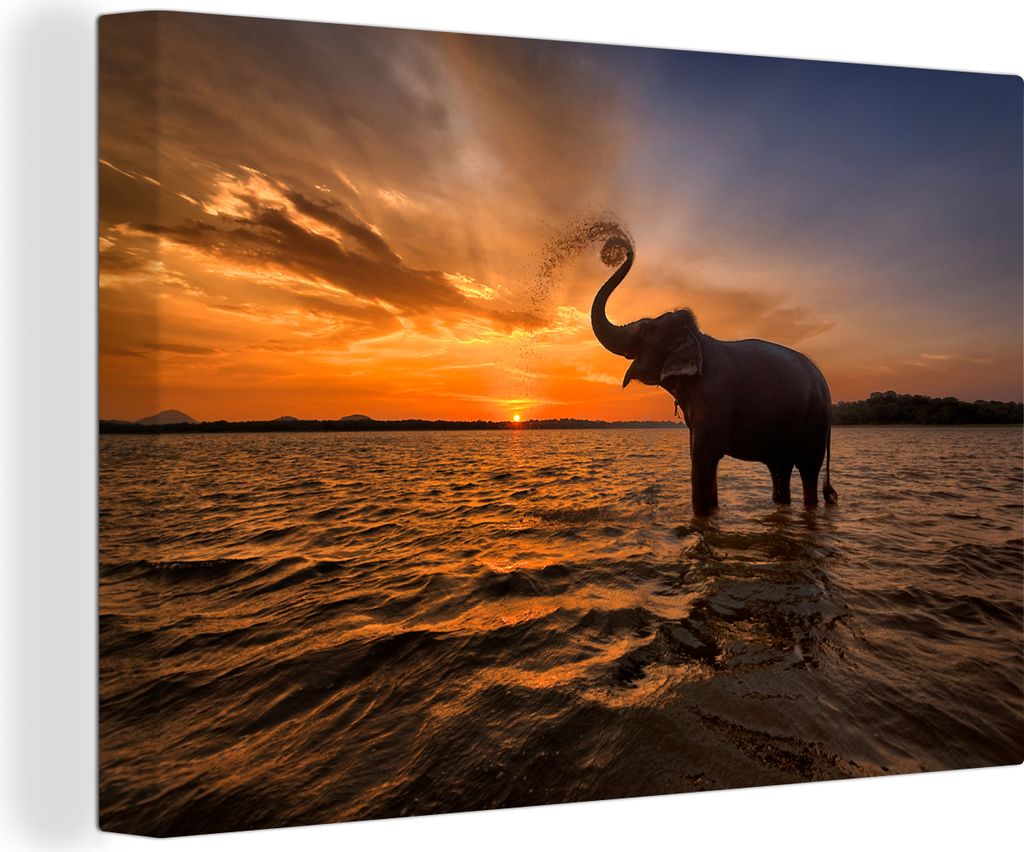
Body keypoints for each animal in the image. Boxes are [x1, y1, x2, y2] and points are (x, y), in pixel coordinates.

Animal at [590, 237, 837, 517]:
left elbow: (703, 456)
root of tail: (824, 383)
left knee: (808, 470)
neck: (700, 339)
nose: (622, 248)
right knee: (780, 469)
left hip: (814, 424)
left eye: (645, 329)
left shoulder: (714, 396)